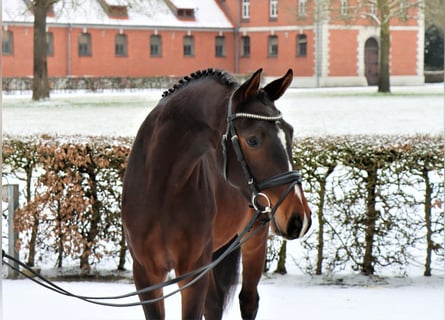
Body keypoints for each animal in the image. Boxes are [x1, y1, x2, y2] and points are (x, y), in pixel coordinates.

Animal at [119, 69, 310, 318]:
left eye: (290, 132)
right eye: (252, 139)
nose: (299, 218)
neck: (162, 190)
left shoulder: (193, 273)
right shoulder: (146, 275)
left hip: (254, 240)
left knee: (248, 301)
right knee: (213, 304)